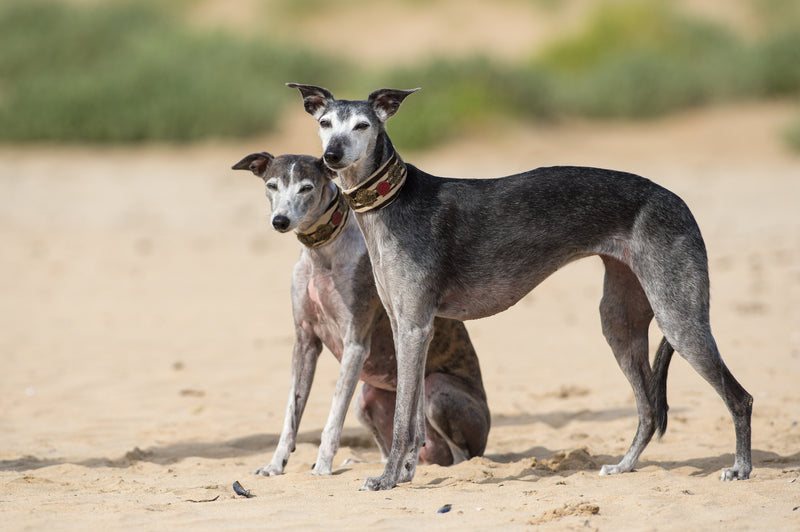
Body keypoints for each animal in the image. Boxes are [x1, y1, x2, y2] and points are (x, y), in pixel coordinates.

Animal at [234, 152, 490, 476]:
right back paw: (364, 462)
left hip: (437, 390)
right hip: (367, 400)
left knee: (462, 456)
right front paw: (274, 465)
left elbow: (333, 416)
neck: (323, 254)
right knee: (392, 448)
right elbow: (291, 415)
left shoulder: (355, 343)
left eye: (306, 188)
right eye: (271, 185)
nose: (280, 221)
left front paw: (322, 467)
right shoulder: (304, 341)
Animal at [290, 83, 756, 490]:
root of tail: (676, 200)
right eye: (325, 123)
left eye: (362, 126)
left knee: (739, 397)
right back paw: (624, 466)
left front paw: (386, 480)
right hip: (620, 321)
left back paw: (740, 468)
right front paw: (403, 475)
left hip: (678, 317)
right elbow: (414, 419)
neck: (394, 199)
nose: (331, 156)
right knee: (648, 408)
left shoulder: (415, 326)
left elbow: (405, 418)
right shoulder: (407, 325)